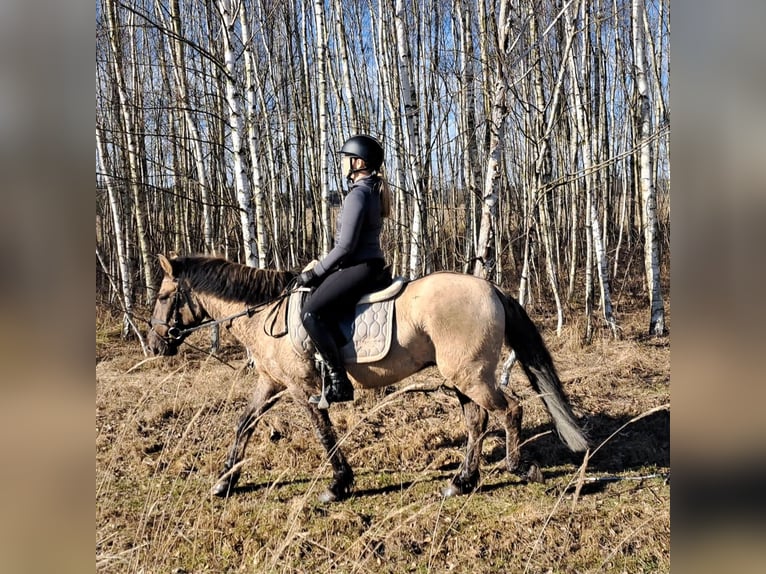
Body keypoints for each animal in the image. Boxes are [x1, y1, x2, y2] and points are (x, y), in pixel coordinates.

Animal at [147, 254, 589, 502]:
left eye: (165, 296)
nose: (153, 345)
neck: (265, 314)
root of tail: (491, 288)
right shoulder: (272, 383)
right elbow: (244, 424)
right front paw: (224, 482)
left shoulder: (303, 389)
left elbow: (323, 433)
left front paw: (338, 485)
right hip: (462, 376)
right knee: (477, 421)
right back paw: (461, 481)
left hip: (471, 375)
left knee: (510, 409)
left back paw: (518, 468)